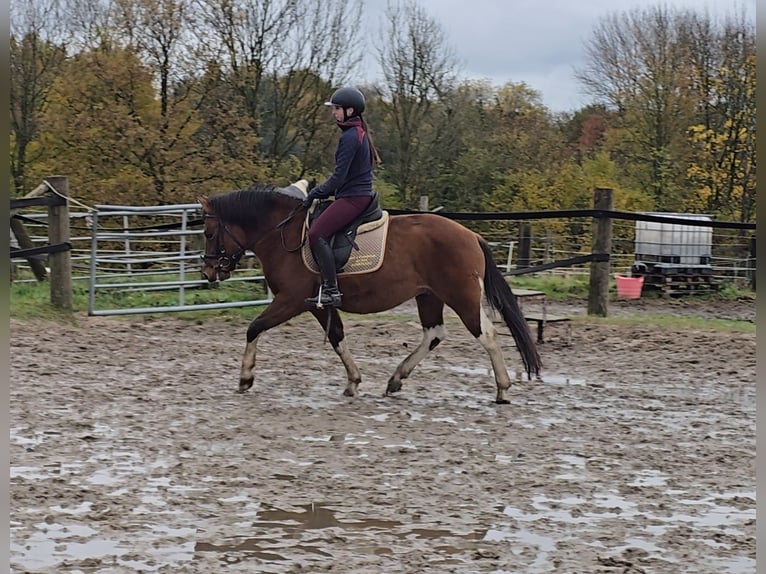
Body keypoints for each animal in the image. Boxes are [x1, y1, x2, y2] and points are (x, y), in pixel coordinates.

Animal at [201, 180, 544, 404]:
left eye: (207, 231)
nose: (208, 273)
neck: (283, 234)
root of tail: (471, 235)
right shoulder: (318, 304)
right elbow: (337, 336)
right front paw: (353, 382)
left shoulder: (292, 300)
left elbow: (254, 327)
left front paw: (245, 377)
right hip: (429, 296)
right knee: (434, 333)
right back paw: (396, 379)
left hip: (461, 296)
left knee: (486, 334)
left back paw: (502, 388)